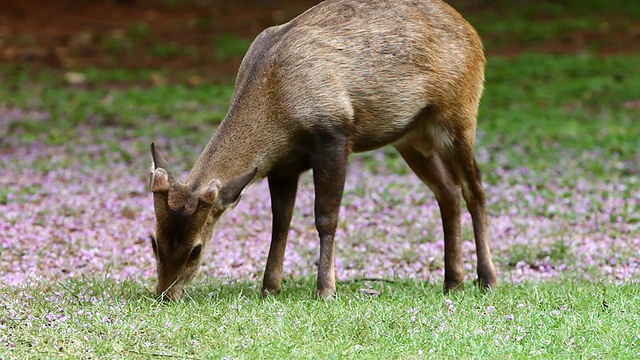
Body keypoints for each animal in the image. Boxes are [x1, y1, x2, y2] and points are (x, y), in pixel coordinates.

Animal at [151, 0, 500, 300]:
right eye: (153, 241)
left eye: (196, 249)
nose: (165, 295)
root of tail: (473, 33)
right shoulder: (283, 165)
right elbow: (280, 222)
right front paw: (269, 288)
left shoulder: (334, 134)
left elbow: (325, 217)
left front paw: (326, 289)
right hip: (411, 138)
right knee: (448, 191)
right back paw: (453, 282)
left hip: (460, 114)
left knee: (475, 189)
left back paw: (487, 279)